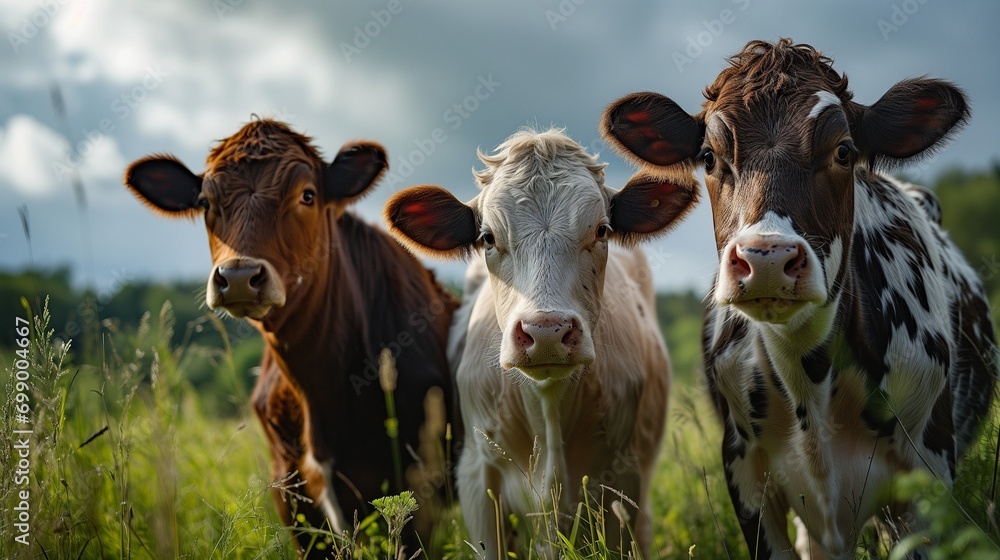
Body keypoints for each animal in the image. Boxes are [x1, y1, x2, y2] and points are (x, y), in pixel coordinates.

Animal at [596, 37, 996, 556]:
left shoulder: (927, 472)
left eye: (844, 151)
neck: (810, 377)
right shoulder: (744, 472)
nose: (767, 259)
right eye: (709, 157)